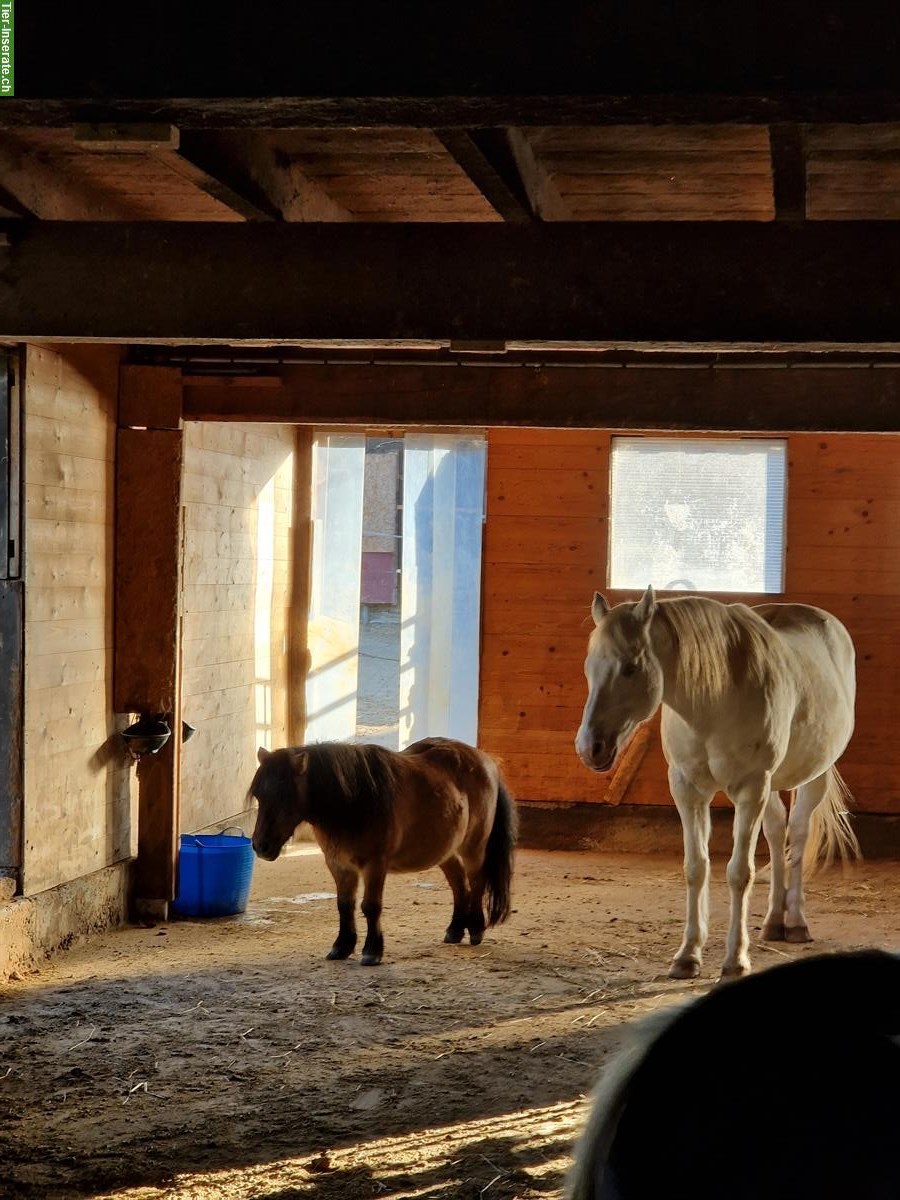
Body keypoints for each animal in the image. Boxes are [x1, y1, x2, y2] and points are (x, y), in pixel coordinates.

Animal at [250, 729, 518, 964]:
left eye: (284, 796)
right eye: (259, 796)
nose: (260, 846)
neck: (354, 801)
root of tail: (485, 760)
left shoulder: (375, 864)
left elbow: (370, 906)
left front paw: (372, 951)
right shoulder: (339, 865)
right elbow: (344, 905)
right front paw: (341, 947)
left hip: (474, 846)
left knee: (476, 881)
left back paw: (476, 929)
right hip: (445, 851)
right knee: (459, 883)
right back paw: (454, 930)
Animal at [578, 588, 859, 974]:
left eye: (630, 668)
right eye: (589, 667)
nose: (590, 748)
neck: (715, 697)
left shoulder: (750, 789)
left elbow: (740, 872)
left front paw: (735, 959)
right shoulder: (688, 789)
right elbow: (696, 867)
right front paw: (687, 954)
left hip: (812, 776)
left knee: (799, 834)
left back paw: (796, 922)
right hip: (770, 787)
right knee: (776, 831)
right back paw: (774, 922)